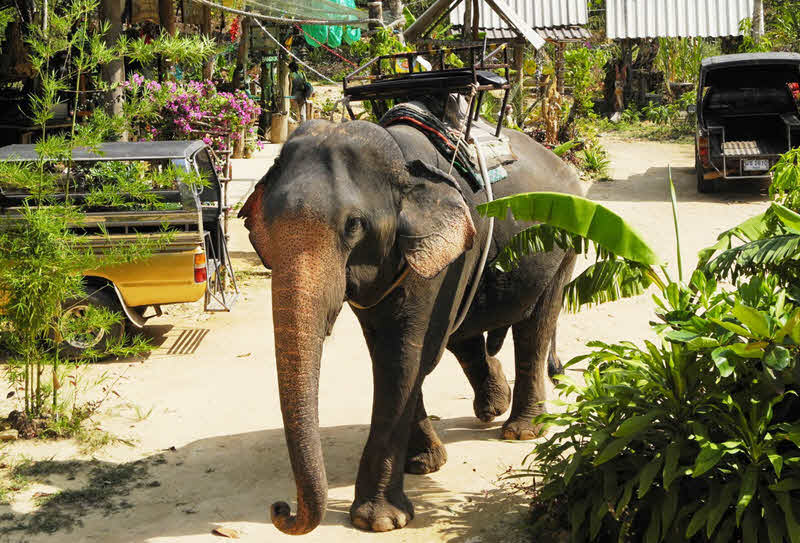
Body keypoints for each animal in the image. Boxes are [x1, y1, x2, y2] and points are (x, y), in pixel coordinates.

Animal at [238, 118, 587, 535]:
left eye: (354, 225)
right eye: (266, 226)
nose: (280, 509)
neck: (400, 161)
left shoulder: (443, 257)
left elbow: (403, 358)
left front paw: (379, 520)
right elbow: (395, 354)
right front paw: (423, 464)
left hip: (565, 237)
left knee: (534, 327)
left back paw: (522, 430)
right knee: (463, 336)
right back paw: (493, 405)